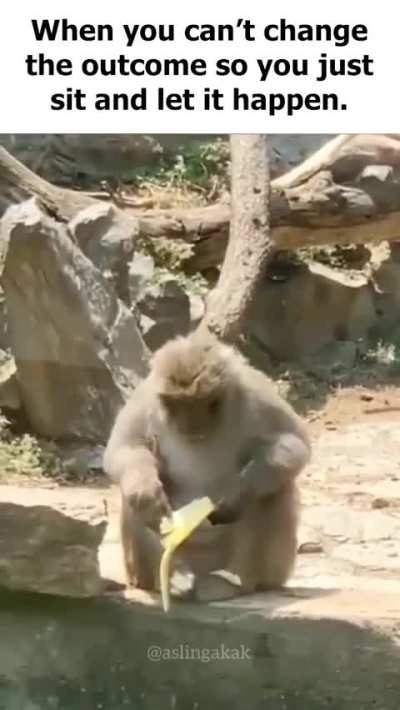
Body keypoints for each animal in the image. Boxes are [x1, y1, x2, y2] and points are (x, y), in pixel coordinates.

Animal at [103, 330, 311, 603]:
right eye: (177, 404)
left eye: (200, 403)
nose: (189, 424)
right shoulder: (145, 397)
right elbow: (125, 448)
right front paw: (147, 493)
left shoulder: (255, 391)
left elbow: (295, 442)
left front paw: (237, 494)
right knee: (132, 496)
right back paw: (169, 578)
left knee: (275, 489)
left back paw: (237, 582)